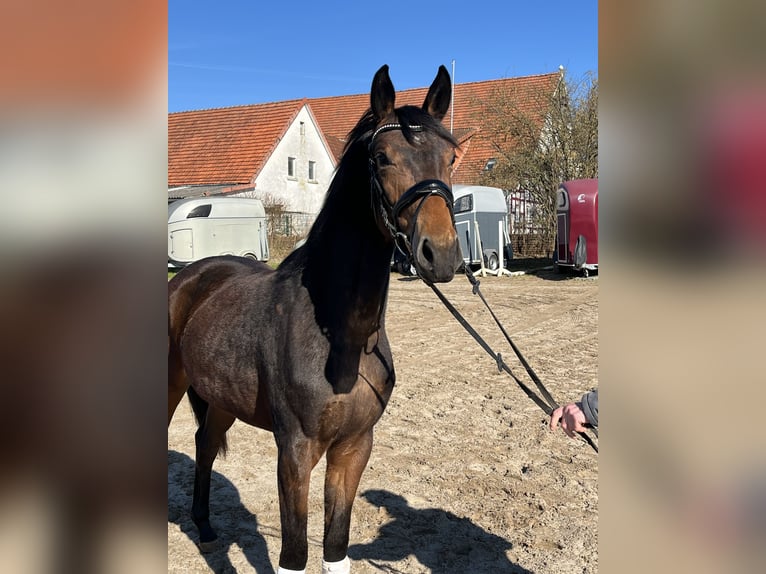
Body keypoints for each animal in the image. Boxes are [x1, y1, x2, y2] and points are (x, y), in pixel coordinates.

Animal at [168, 64, 462, 574]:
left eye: (450, 156)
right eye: (382, 157)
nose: (439, 254)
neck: (341, 338)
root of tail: (190, 275)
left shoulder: (354, 446)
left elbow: (335, 548)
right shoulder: (295, 450)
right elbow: (296, 554)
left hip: (221, 398)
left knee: (205, 445)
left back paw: (204, 528)